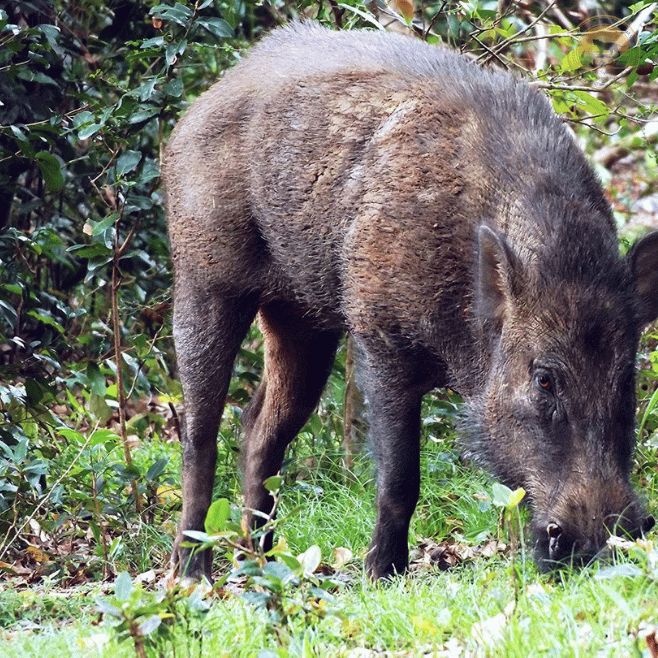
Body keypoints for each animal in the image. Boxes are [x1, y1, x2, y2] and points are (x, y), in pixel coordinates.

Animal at [163, 21, 658, 580]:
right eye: (545, 379)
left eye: (628, 377)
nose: (601, 543)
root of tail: (197, 107)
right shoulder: (381, 338)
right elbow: (400, 476)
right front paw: (381, 573)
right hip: (204, 278)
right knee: (199, 432)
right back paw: (192, 572)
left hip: (301, 318)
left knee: (260, 427)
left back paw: (263, 563)